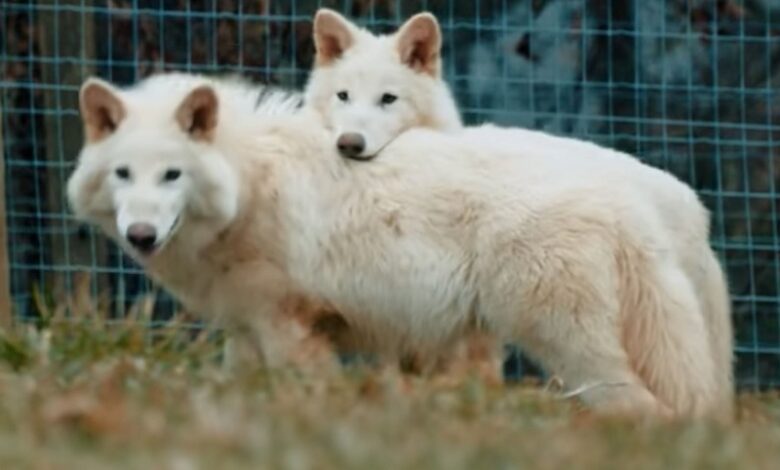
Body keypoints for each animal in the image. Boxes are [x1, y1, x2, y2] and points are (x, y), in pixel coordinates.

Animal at [68, 72, 732, 419]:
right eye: (123, 175)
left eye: (171, 176)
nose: (142, 235)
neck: (250, 182)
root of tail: (644, 203)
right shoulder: (246, 331)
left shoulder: (290, 329)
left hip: (568, 348)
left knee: (644, 409)